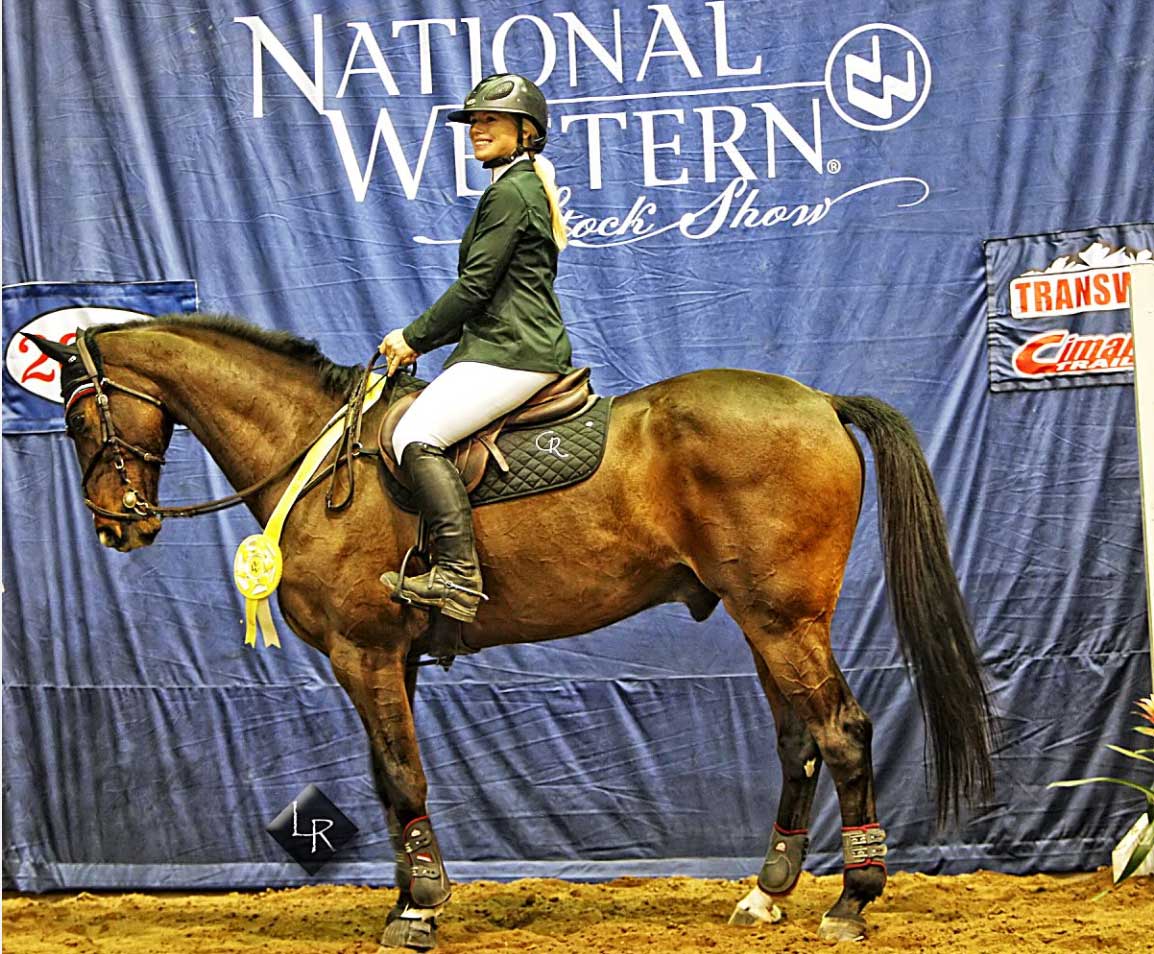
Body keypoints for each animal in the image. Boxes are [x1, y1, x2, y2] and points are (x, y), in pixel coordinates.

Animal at [27, 316, 992, 950]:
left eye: (75, 415)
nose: (116, 527)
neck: (315, 454)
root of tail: (821, 402)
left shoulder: (364, 653)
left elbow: (398, 773)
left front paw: (418, 909)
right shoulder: (390, 661)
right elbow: (390, 781)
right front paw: (409, 898)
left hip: (786, 619)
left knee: (843, 731)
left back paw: (852, 902)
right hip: (764, 621)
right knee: (798, 738)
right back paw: (766, 894)